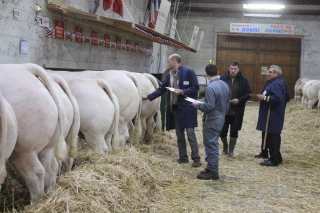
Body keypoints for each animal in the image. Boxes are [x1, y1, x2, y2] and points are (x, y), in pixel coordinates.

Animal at [0, 63, 66, 201]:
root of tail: (27, 68)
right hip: (49, 143)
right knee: (51, 167)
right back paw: (49, 194)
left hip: (24, 146)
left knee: (36, 173)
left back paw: (35, 202)